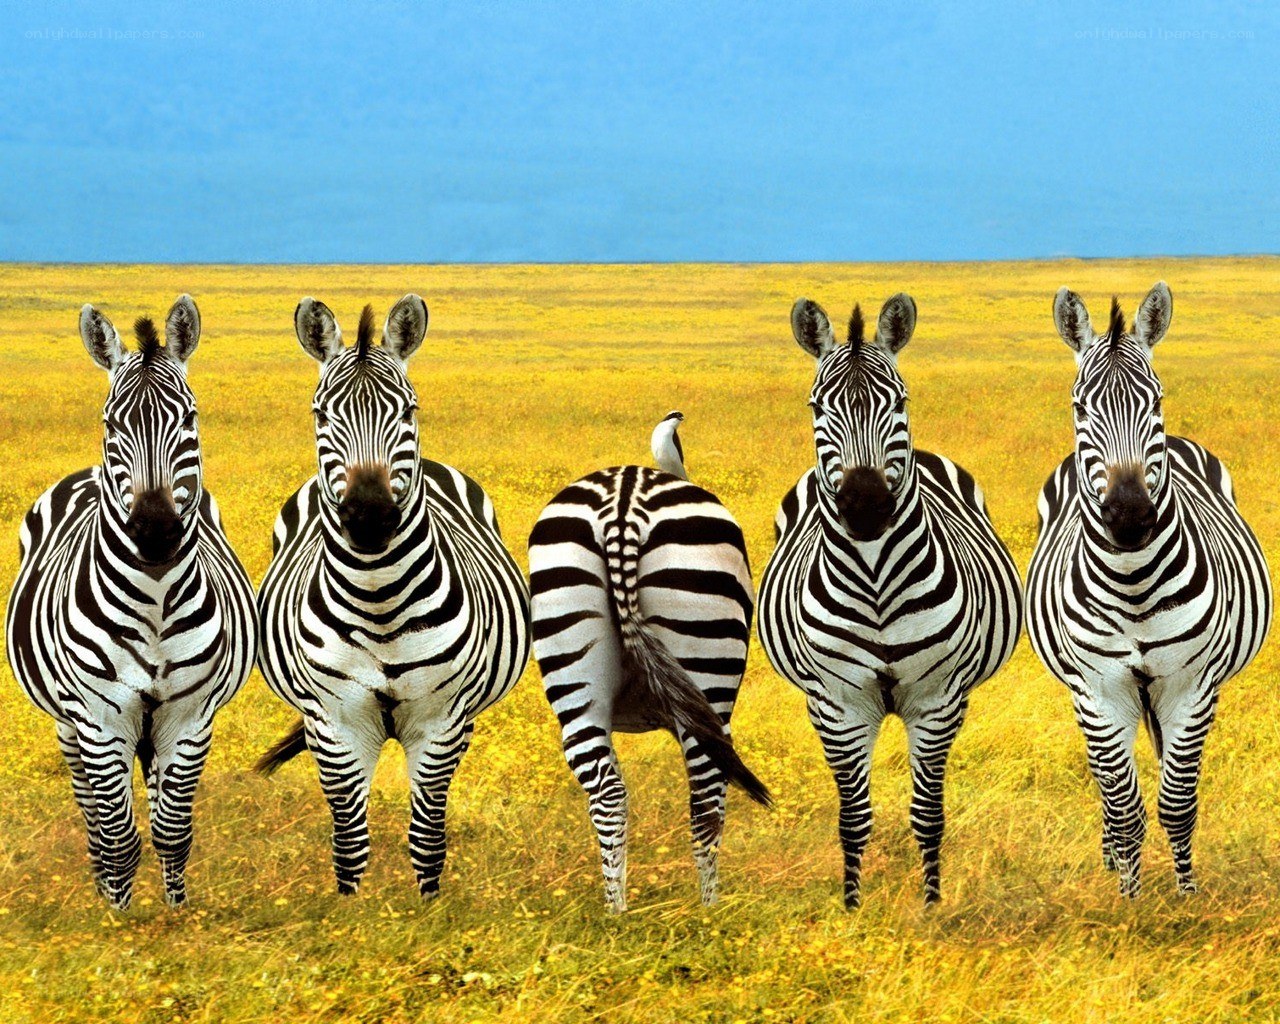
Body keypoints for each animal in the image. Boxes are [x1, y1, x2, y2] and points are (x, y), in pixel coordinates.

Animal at [5, 296, 257, 910]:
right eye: (111, 424)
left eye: (189, 418)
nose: (155, 529)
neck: (156, 601)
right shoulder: (99, 717)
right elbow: (118, 835)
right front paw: (117, 917)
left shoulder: (189, 716)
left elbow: (172, 828)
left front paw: (175, 914)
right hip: (69, 725)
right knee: (92, 812)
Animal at [254, 295, 531, 898]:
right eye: (320, 415)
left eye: (409, 409)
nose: (370, 516)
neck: (380, 602)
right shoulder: (335, 722)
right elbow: (349, 841)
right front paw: (350, 911)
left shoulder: (440, 721)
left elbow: (427, 836)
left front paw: (428, 910)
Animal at [528, 411, 770, 912]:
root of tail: (623, 500)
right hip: (708, 665)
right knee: (706, 798)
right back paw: (709, 912)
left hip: (571, 660)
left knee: (608, 795)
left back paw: (616, 913)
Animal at [757, 294, 1023, 908]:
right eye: (816, 406)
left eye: (899, 401)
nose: (865, 505)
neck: (877, 581)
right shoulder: (837, 706)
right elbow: (853, 818)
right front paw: (852, 907)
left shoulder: (937, 701)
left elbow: (927, 814)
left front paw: (930, 906)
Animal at [1026, 282, 1272, 898]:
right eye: (1079, 407)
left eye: (1155, 401)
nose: (1130, 514)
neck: (1133, 581)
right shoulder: (1099, 689)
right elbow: (1124, 807)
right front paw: (1129, 900)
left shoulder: (1192, 686)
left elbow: (1177, 804)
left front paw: (1186, 899)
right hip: (1086, 695)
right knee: (1105, 782)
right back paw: (1111, 859)